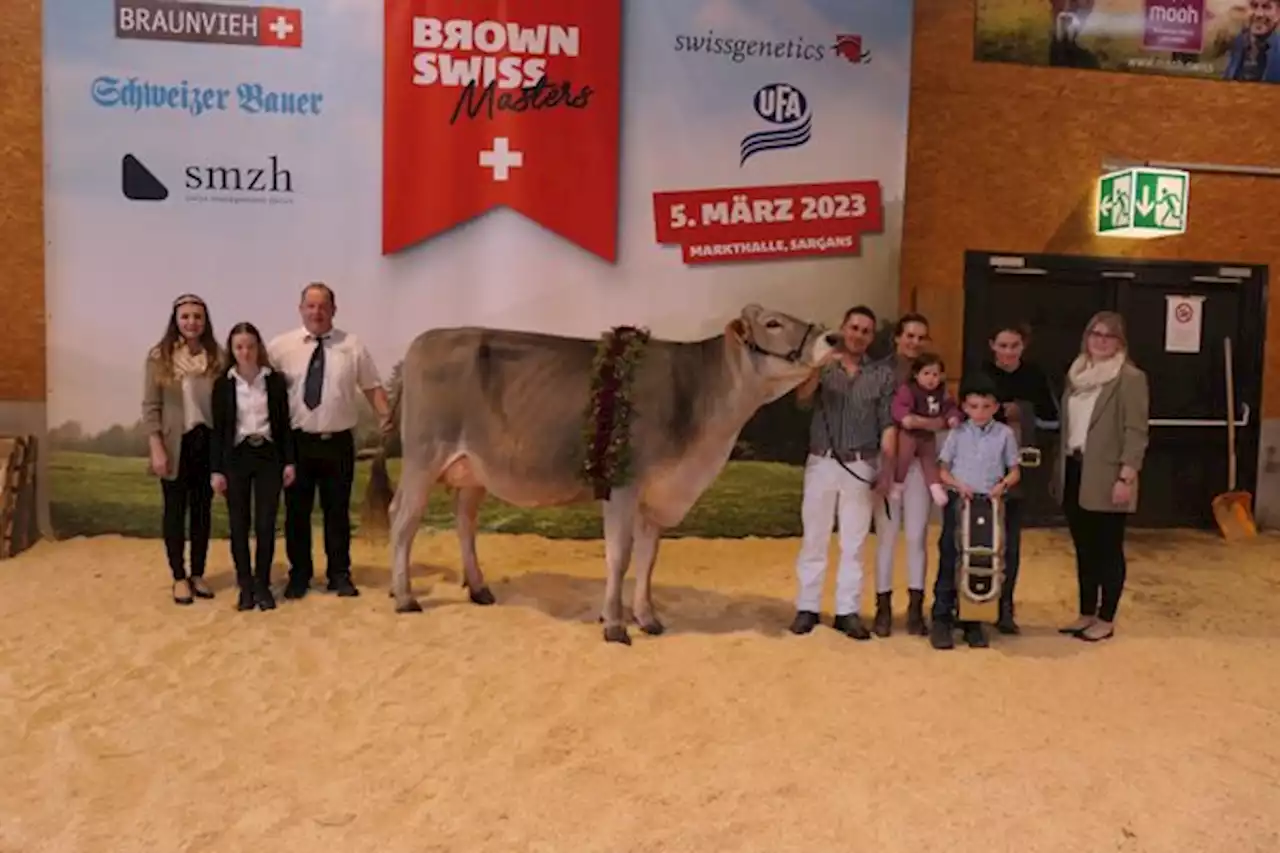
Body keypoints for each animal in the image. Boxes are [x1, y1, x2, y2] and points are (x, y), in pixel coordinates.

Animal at [363, 302, 839, 640]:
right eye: (773, 323)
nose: (832, 336)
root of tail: (424, 341)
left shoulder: (657, 495)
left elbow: (648, 558)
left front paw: (648, 618)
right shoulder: (624, 485)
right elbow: (620, 555)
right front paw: (614, 624)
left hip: (473, 470)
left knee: (464, 522)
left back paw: (479, 589)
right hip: (424, 455)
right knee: (403, 519)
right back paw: (404, 596)